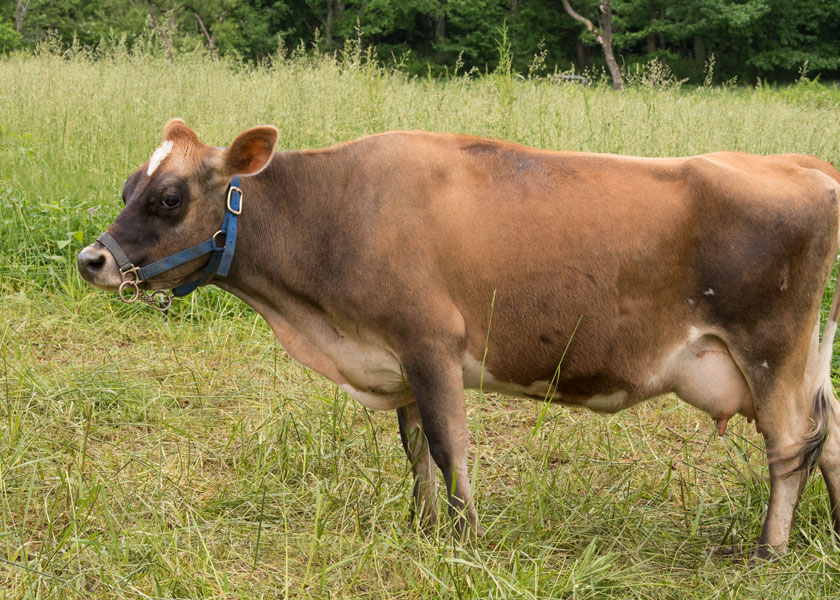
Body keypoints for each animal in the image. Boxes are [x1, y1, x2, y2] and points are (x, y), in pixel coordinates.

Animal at [78, 119, 840, 559]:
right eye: (128, 186)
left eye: (169, 197)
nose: (92, 260)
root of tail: (802, 163)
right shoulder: (396, 358)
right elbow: (415, 448)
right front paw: (423, 528)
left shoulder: (430, 344)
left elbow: (449, 447)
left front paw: (466, 539)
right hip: (801, 356)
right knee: (829, 432)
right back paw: (831, 529)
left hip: (770, 347)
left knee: (789, 443)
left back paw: (768, 551)